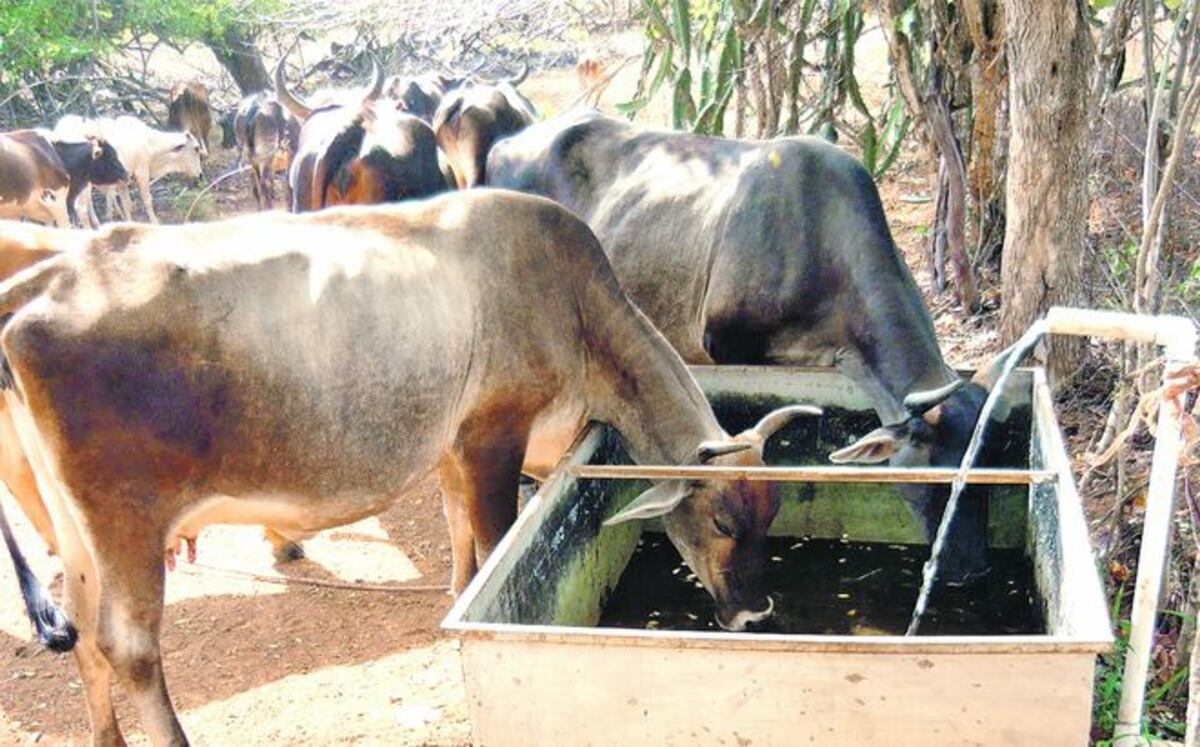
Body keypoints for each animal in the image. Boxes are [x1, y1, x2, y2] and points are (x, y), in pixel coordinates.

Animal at [0, 189, 816, 744]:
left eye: (773, 511)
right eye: (722, 519)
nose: (757, 614)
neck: (579, 313)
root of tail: (44, 284)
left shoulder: (453, 449)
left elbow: (462, 552)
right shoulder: (492, 438)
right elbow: (493, 546)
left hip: (75, 527)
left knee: (82, 629)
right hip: (129, 521)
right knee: (130, 646)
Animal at [54, 114, 202, 225]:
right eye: (196, 148)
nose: (200, 174)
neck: (149, 143)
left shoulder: (122, 181)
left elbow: (127, 205)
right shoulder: (142, 172)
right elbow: (147, 201)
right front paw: (155, 222)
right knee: (81, 209)